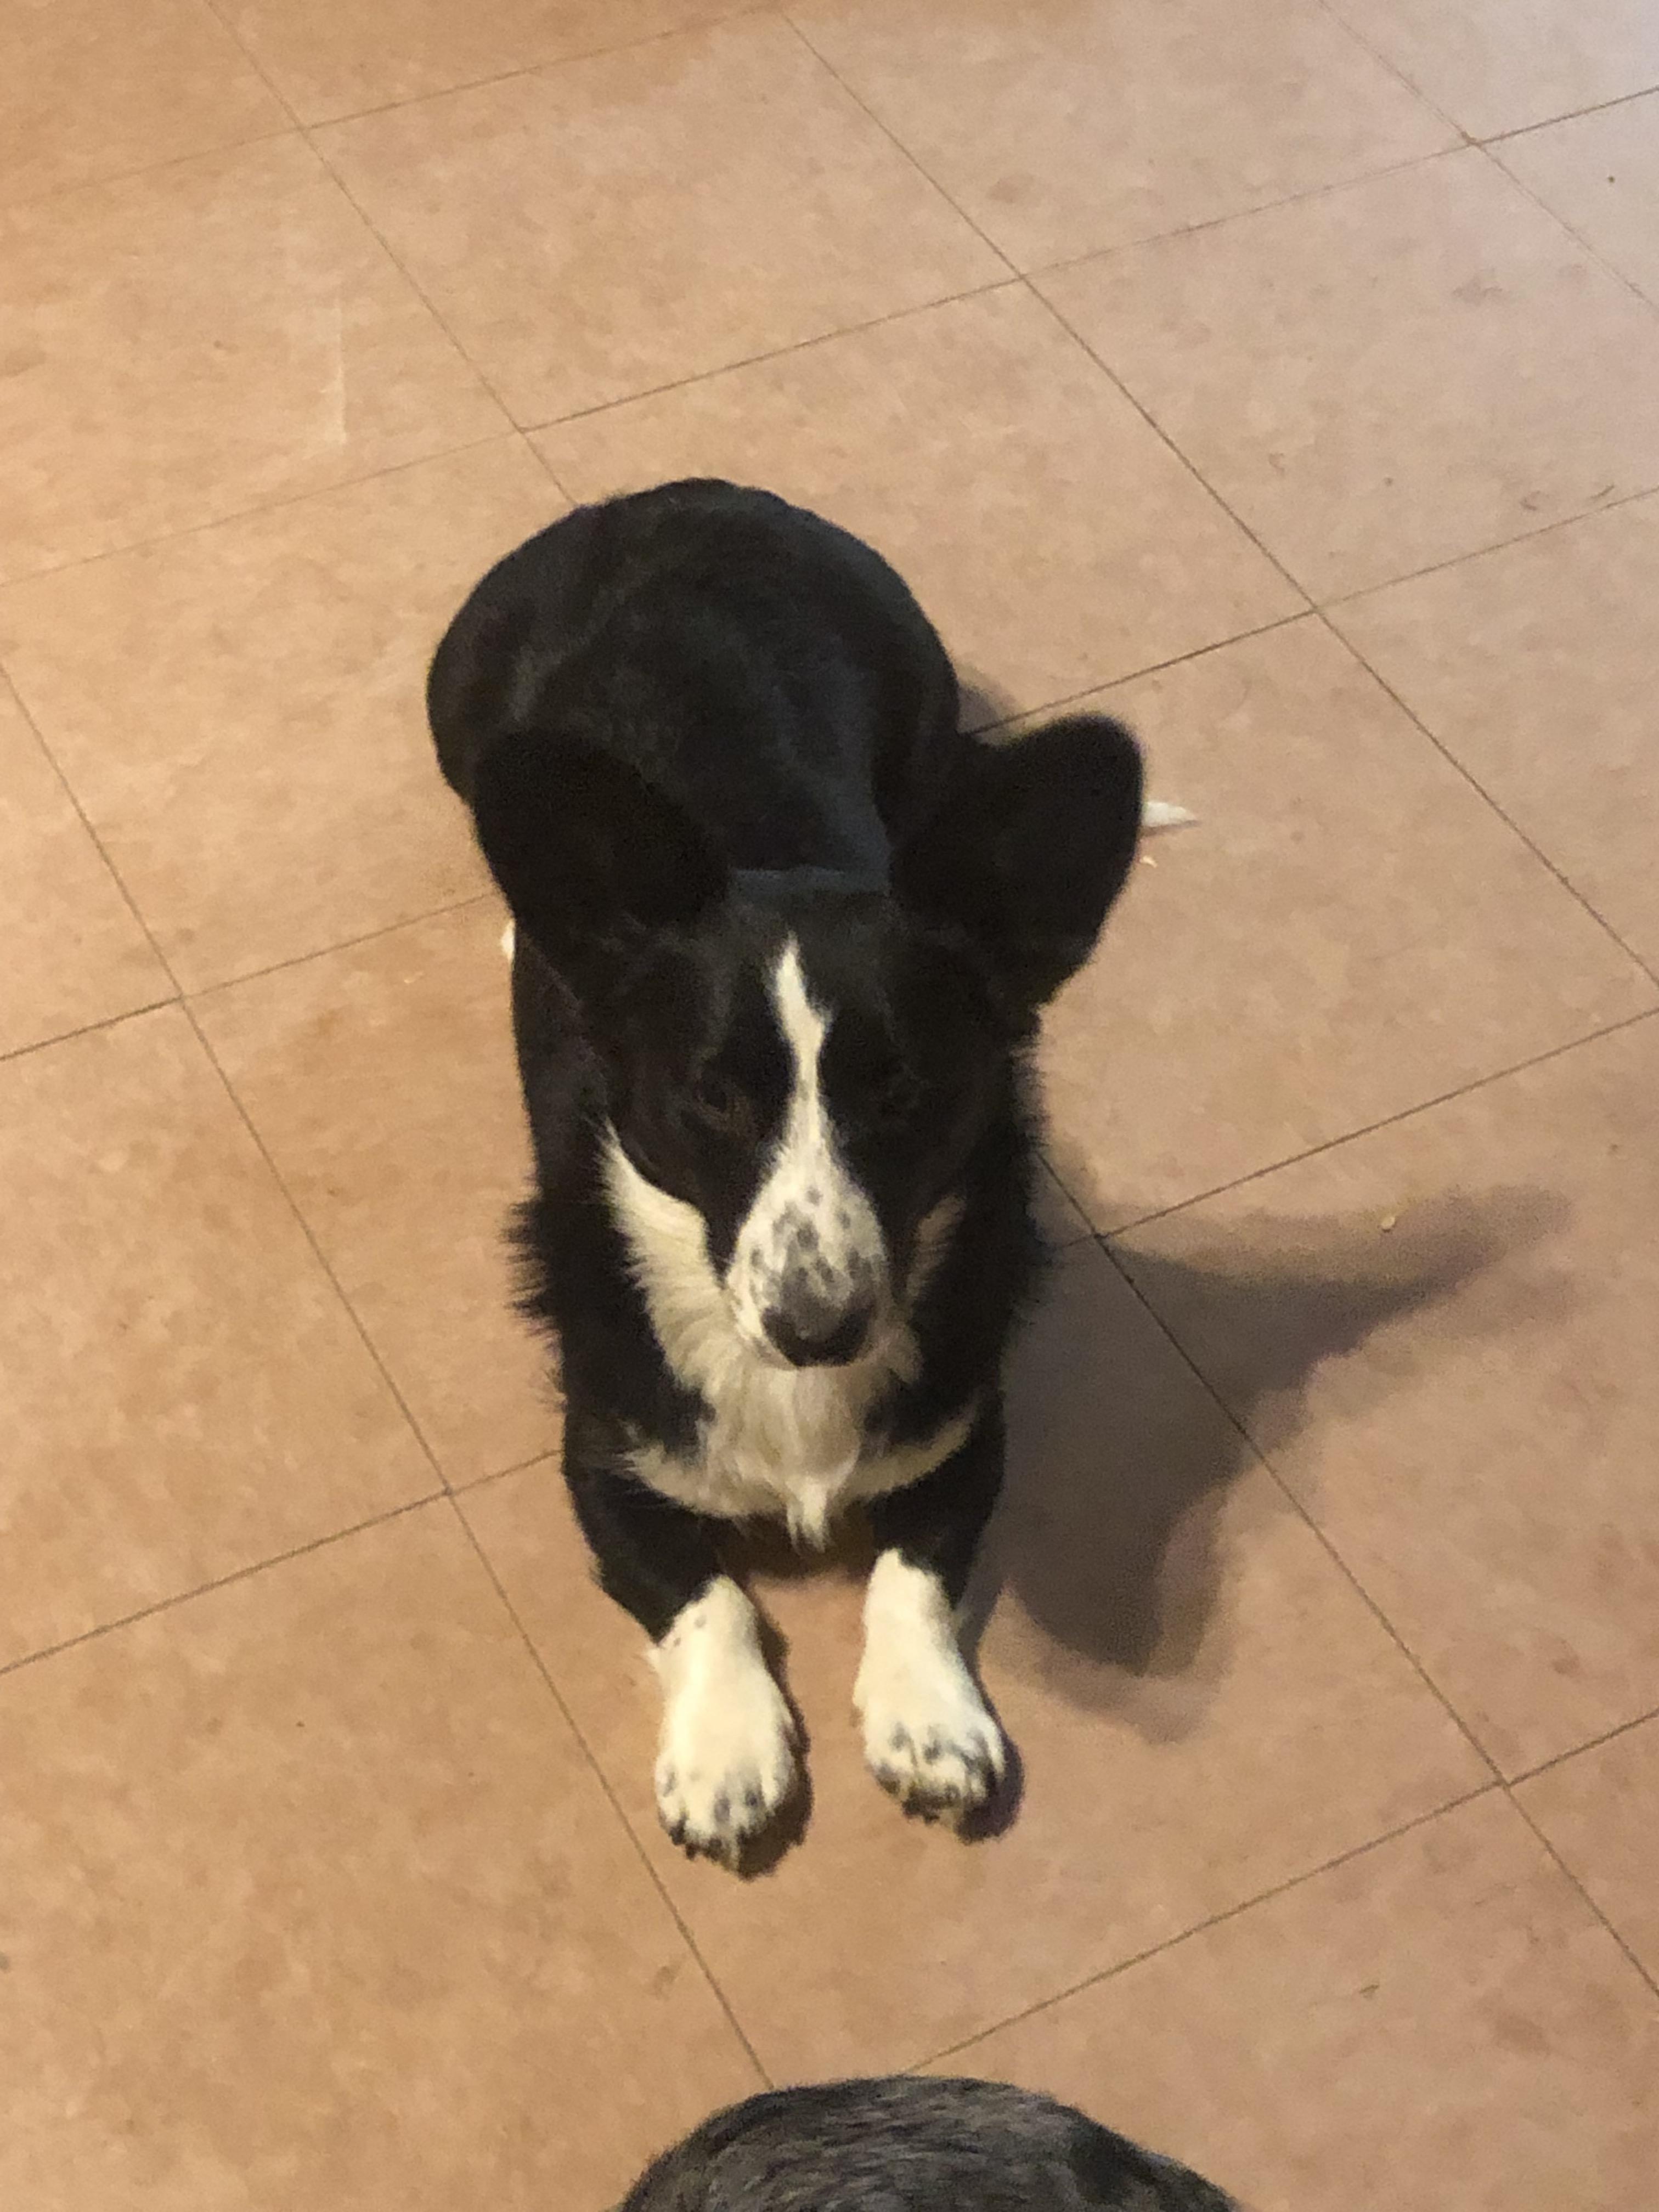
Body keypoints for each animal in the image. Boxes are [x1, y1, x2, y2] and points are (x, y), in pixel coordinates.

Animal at [428, 479, 1143, 1867]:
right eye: (711, 1099)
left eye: (905, 1093)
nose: (820, 1330)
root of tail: (682, 495)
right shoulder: (605, 1465)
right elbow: (708, 1601)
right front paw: (729, 1759)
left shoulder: (965, 1435)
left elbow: (912, 1578)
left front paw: (933, 1728)